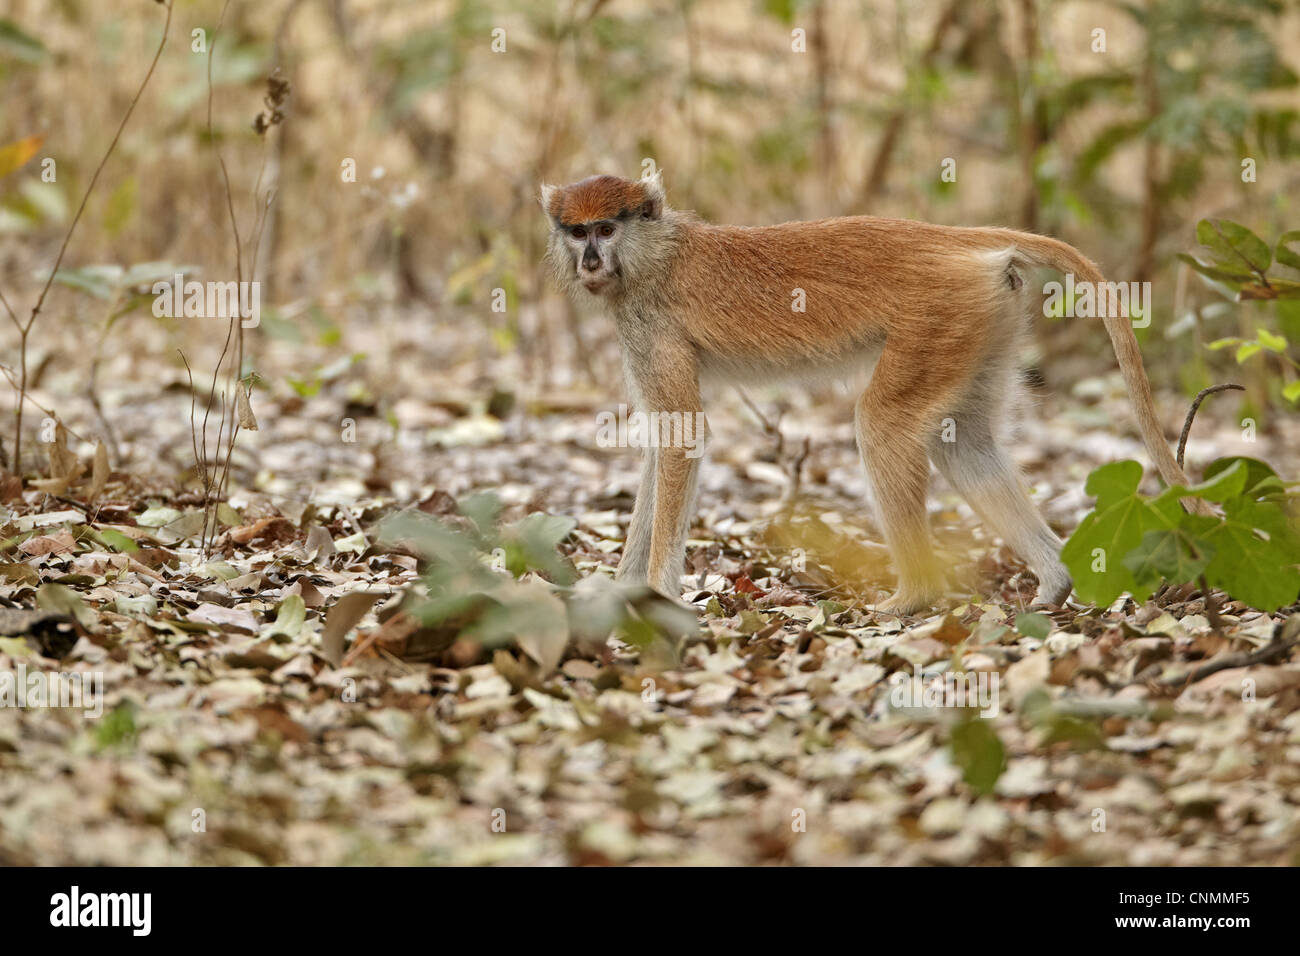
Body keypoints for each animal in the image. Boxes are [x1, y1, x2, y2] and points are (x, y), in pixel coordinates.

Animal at [538, 171, 1190, 613]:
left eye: (606, 229)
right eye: (577, 231)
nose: (590, 260)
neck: (656, 255)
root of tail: (950, 240)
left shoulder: (650, 324)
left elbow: (682, 437)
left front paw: (658, 595)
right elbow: (663, 444)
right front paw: (622, 589)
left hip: (938, 317)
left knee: (883, 424)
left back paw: (913, 597)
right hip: (983, 320)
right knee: (963, 442)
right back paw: (1054, 582)